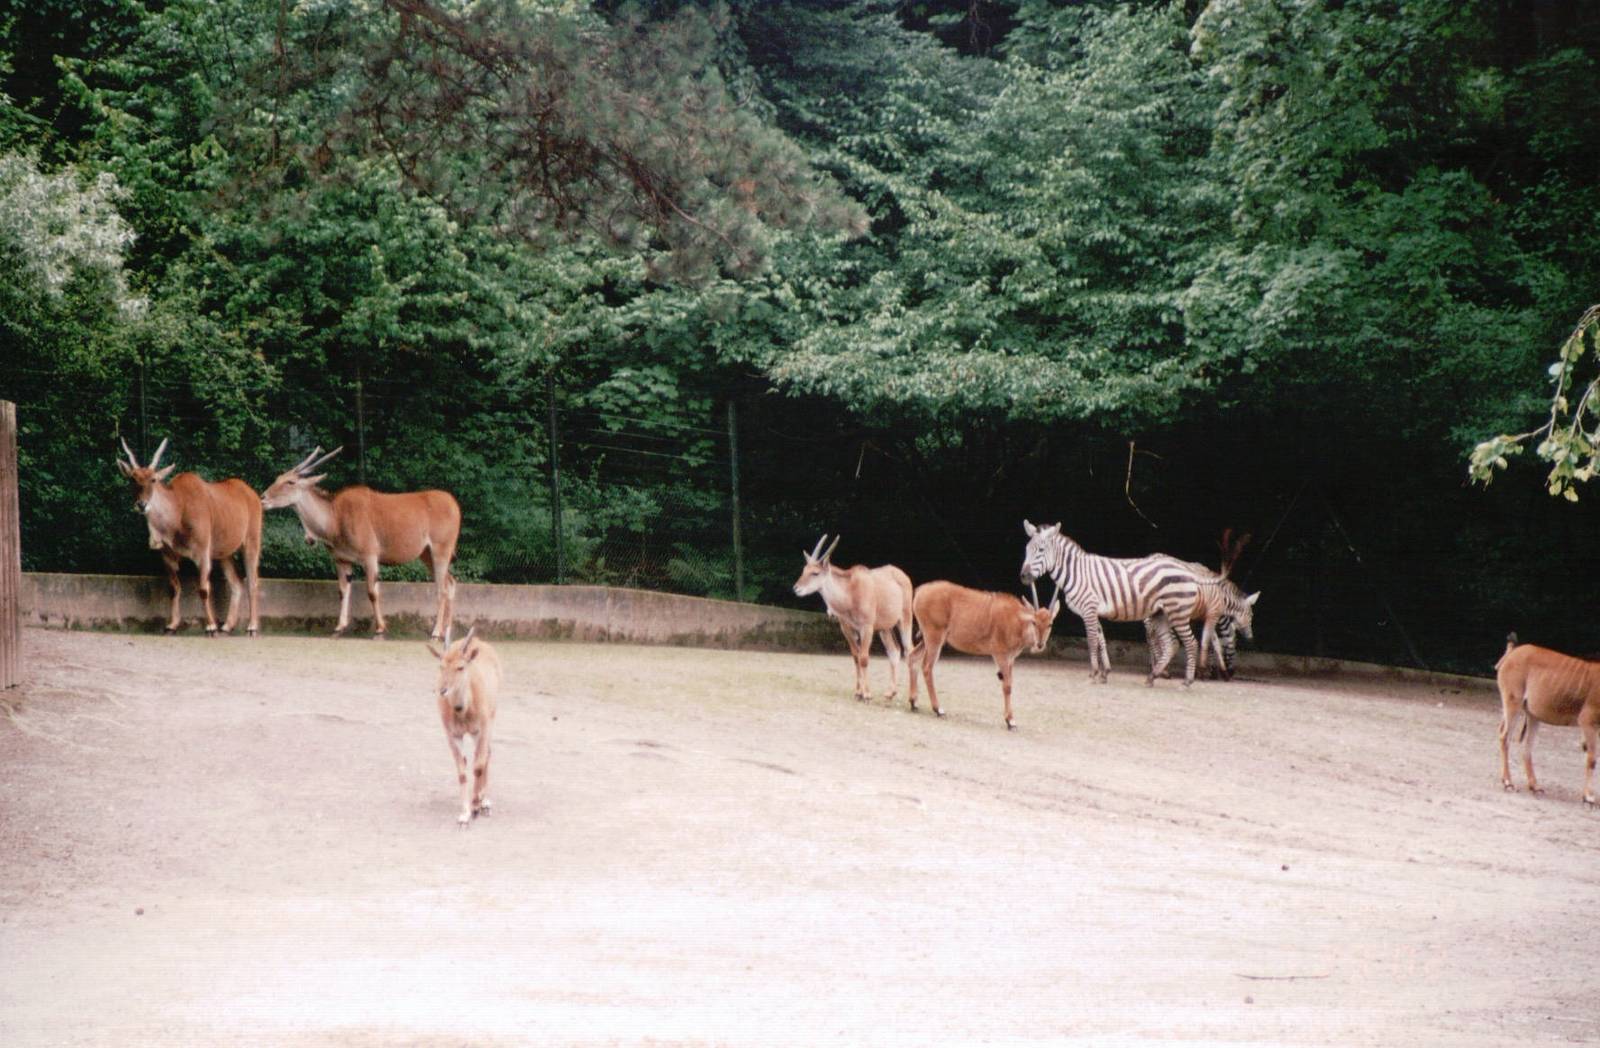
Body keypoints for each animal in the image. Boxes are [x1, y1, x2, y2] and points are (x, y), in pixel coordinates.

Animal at [1019, 520, 1203, 686]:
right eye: (1026, 549)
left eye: (1041, 550)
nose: (1023, 577)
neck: (1077, 573)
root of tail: (1187, 569)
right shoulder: (1093, 611)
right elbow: (1101, 639)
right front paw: (1104, 673)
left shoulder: (1089, 608)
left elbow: (1092, 640)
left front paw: (1093, 673)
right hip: (1161, 613)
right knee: (1170, 645)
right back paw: (1152, 676)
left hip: (1178, 612)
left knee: (1191, 643)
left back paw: (1187, 681)